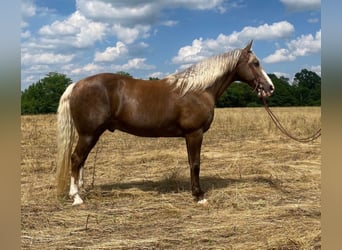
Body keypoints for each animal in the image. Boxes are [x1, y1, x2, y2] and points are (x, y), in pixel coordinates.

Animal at [56, 40, 276, 205]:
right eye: (255, 63)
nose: (270, 87)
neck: (198, 90)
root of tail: (76, 85)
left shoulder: (190, 135)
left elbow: (191, 162)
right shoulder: (194, 133)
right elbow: (195, 163)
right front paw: (199, 196)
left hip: (91, 135)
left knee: (81, 160)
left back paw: (81, 190)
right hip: (88, 134)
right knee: (76, 159)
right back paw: (76, 197)